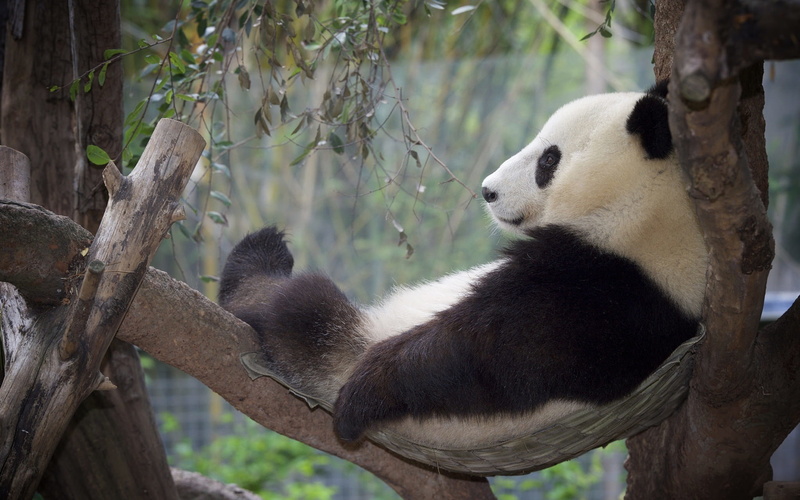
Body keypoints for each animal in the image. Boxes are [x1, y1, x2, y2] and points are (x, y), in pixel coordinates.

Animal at [219, 82, 708, 449]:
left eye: (549, 159)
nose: (488, 191)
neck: (645, 210)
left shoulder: (606, 292)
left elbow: (484, 354)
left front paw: (364, 395)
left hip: (348, 341)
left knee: (302, 309)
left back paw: (259, 266)